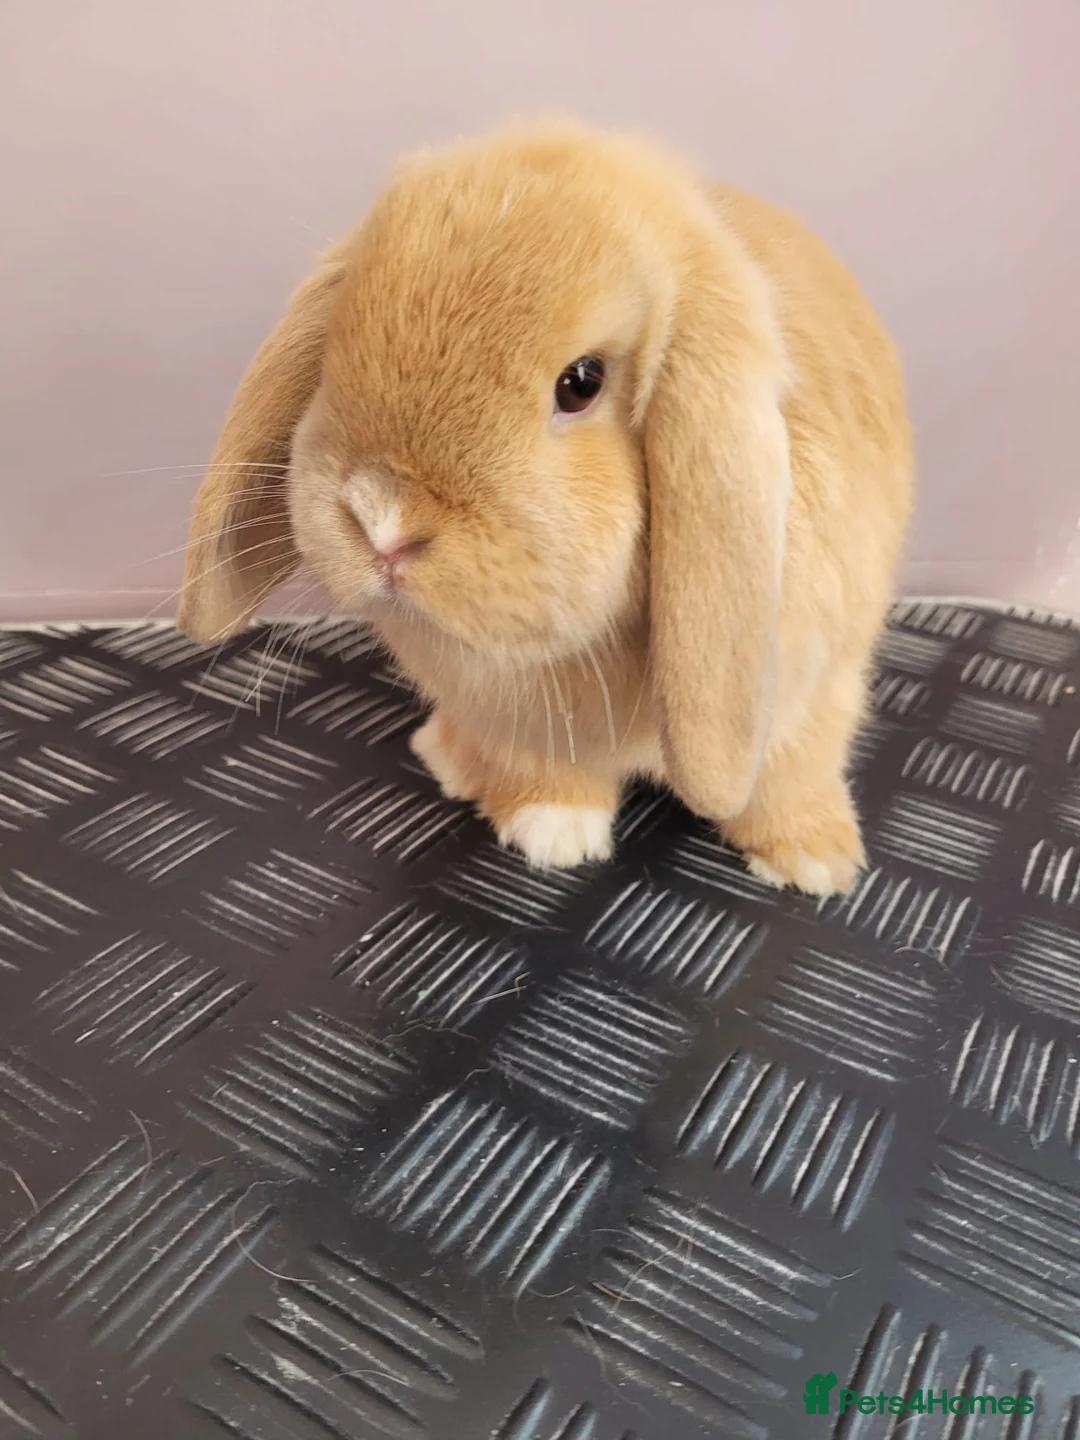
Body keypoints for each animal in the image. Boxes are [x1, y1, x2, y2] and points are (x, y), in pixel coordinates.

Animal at [178, 120, 913, 895]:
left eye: (581, 382)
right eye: (340, 340)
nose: (381, 519)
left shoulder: (818, 682)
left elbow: (791, 773)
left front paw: (812, 861)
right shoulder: (514, 719)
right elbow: (543, 770)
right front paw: (550, 831)